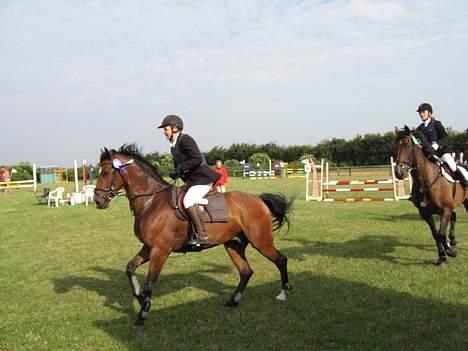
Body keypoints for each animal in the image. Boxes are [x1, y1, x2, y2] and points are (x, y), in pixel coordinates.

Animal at [93, 145, 292, 330]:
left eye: (106, 172)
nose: (97, 201)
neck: (151, 202)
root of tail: (258, 200)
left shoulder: (160, 250)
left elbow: (149, 283)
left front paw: (142, 316)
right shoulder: (149, 248)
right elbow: (130, 268)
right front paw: (141, 299)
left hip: (260, 241)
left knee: (281, 260)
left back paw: (284, 293)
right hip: (233, 244)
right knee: (246, 271)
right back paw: (233, 301)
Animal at [394, 126, 468, 266]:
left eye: (407, 145)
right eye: (395, 146)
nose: (399, 173)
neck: (426, 180)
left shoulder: (445, 209)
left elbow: (441, 234)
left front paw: (450, 252)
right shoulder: (426, 212)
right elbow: (436, 234)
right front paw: (442, 257)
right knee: (454, 216)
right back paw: (453, 242)